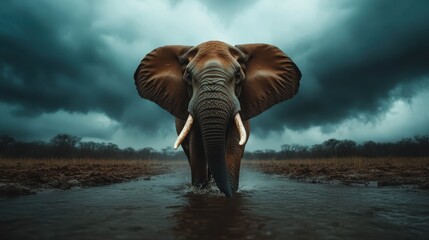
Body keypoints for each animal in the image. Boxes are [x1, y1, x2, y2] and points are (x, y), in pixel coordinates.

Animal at [134, 39, 300, 197]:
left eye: (238, 76)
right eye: (188, 77)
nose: (228, 194)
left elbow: (233, 148)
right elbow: (197, 149)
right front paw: (202, 191)